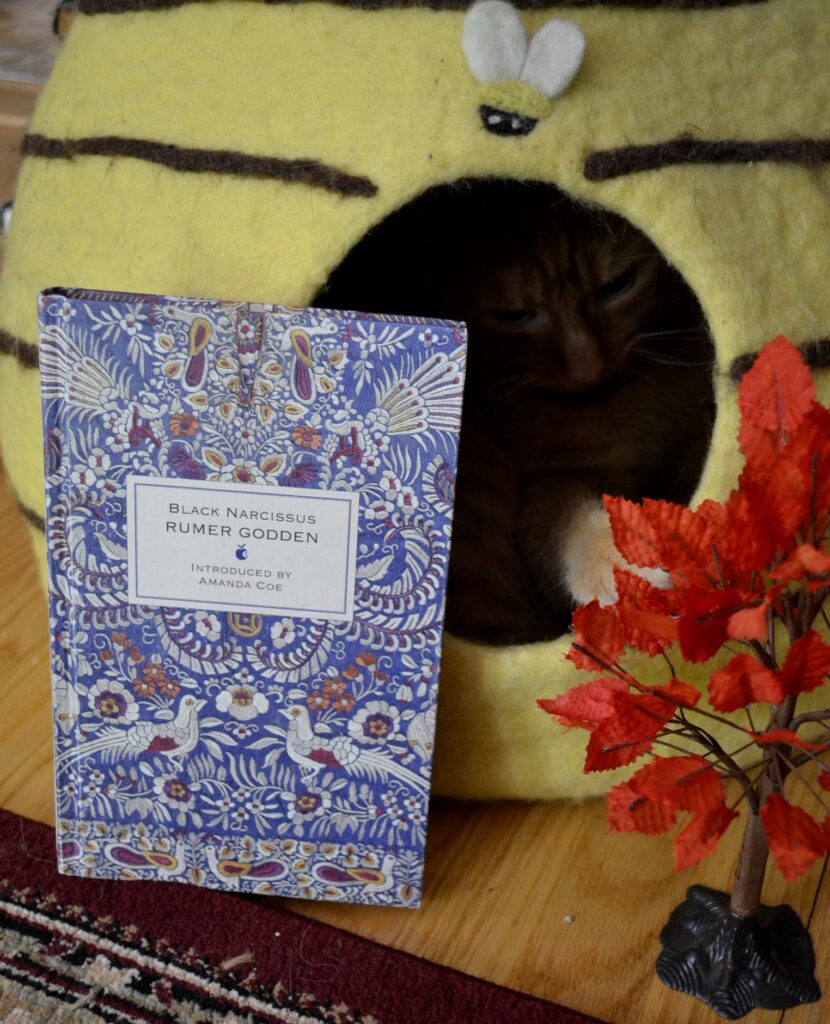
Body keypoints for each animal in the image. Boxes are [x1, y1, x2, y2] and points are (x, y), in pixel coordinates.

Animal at [315, 180, 716, 643]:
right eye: (515, 316)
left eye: (618, 284)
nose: (587, 367)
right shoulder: (545, 488)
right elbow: (576, 524)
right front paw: (627, 566)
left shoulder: (694, 437)